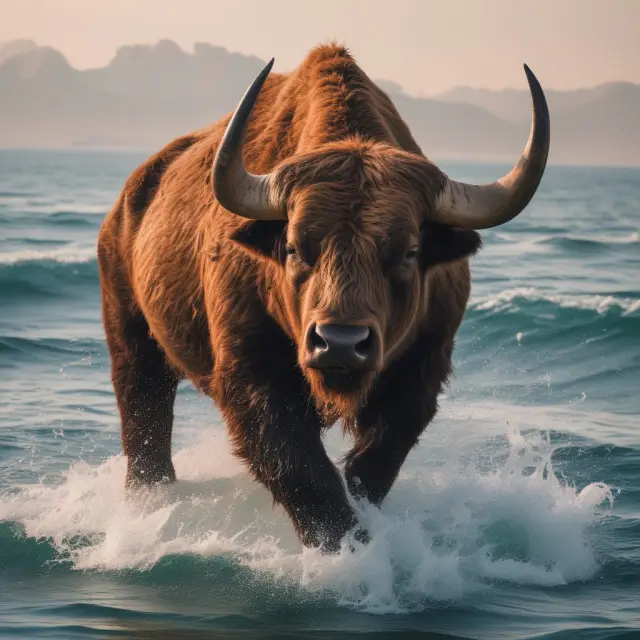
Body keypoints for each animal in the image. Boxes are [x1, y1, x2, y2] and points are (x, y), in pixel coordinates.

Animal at [97, 44, 549, 553]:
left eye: (409, 251)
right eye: (295, 247)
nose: (340, 342)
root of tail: (130, 199)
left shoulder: (420, 373)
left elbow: (371, 466)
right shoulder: (253, 378)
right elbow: (303, 470)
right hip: (132, 341)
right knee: (145, 420)